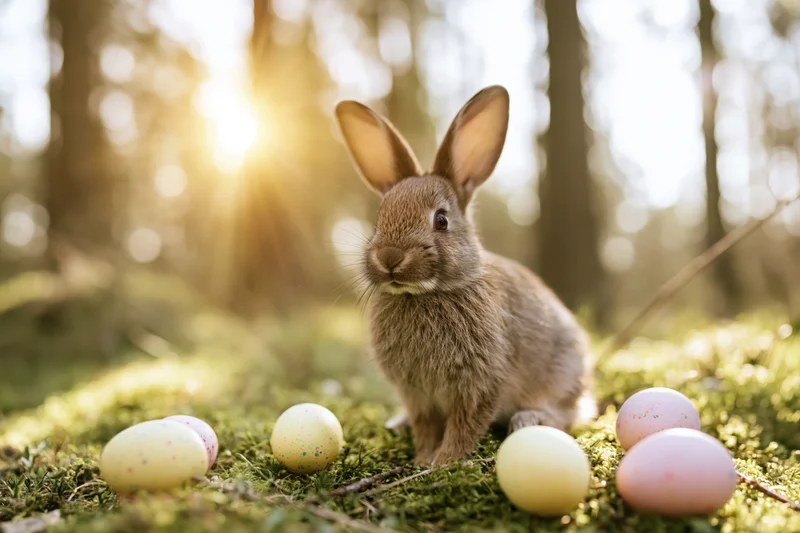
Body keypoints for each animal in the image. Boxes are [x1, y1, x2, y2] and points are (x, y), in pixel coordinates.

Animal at [334, 85, 595, 466]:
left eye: (441, 220)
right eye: (380, 217)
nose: (390, 257)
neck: (422, 294)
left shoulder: (478, 383)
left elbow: (465, 423)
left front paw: (444, 462)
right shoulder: (416, 393)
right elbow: (426, 424)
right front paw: (423, 459)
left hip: (563, 372)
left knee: (568, 413)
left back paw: (529, 418)